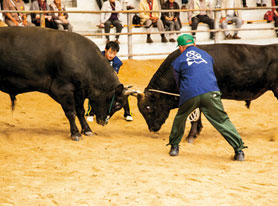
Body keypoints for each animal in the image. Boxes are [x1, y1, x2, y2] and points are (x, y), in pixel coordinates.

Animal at [0, 27, 130, 140]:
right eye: (117, 104)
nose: (104, 122)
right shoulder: (63, 90)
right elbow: (71, 112)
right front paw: (75, 133)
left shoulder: (79, 92)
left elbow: (80, 111)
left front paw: (87, 130)